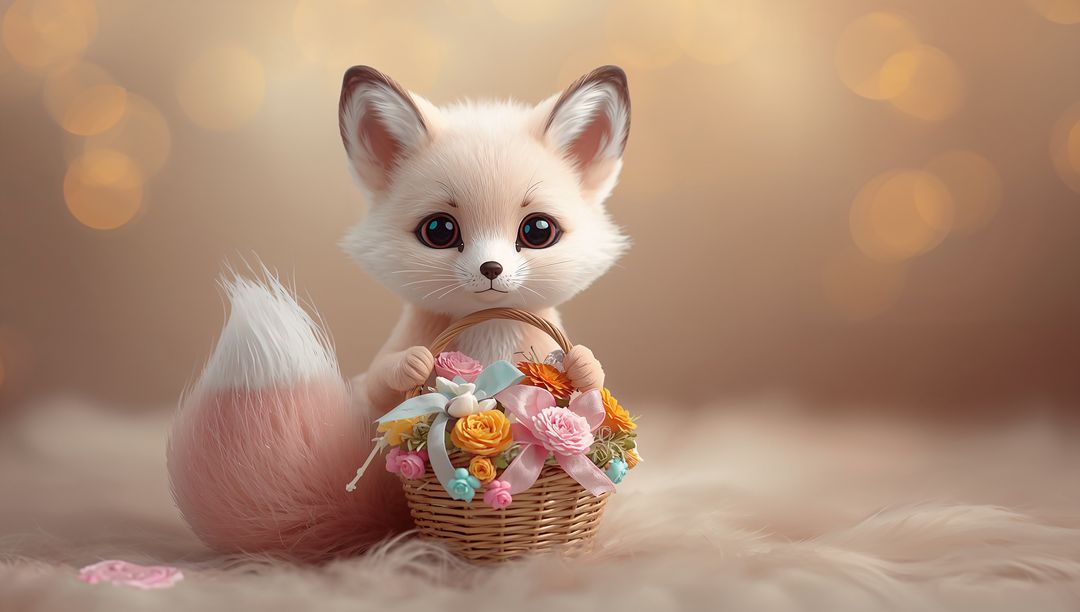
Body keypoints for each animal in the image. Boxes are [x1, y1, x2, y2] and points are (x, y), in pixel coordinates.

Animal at [166, 65, 632, 561]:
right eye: (440, 230)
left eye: (539, 230)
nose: (491, 268)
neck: (489, 330)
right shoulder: (380, 381)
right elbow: (385, 375)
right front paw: (413, 362)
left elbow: (592, 377)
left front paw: (584, 364)